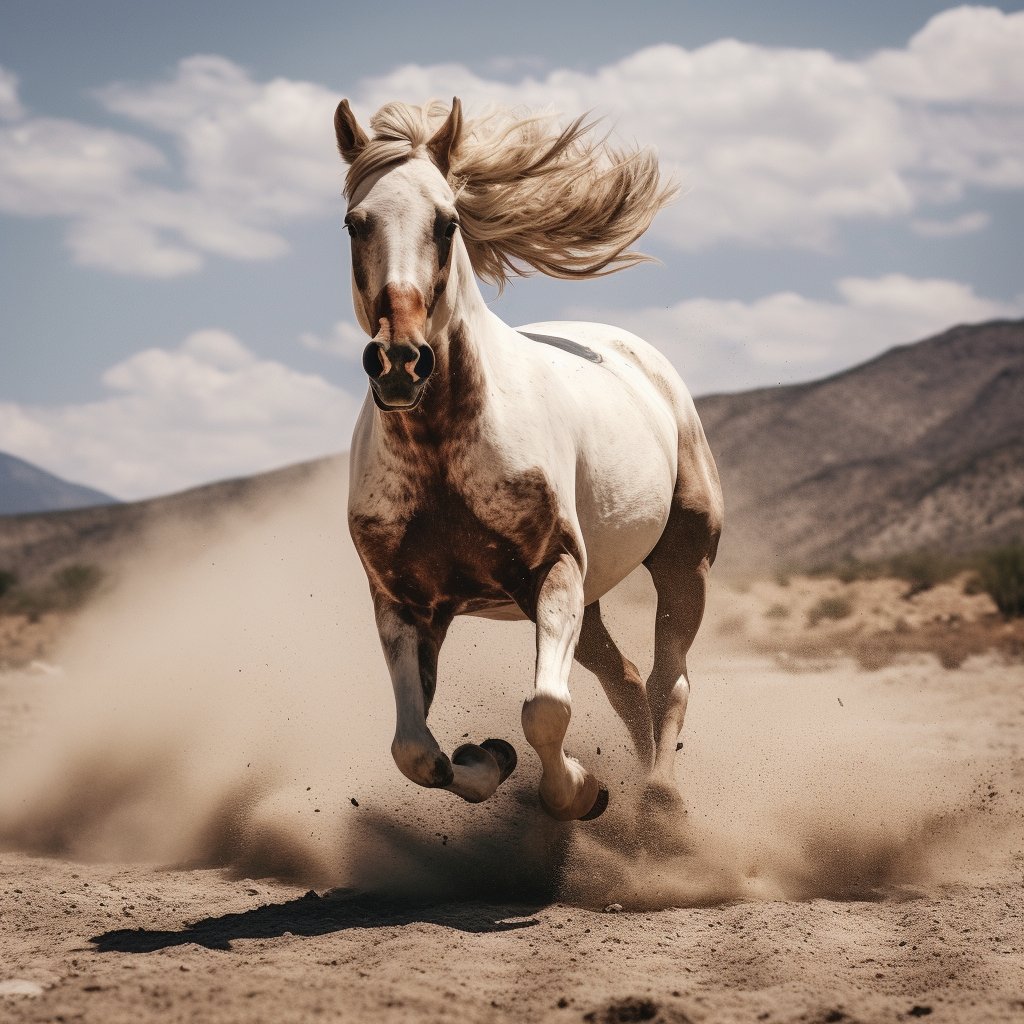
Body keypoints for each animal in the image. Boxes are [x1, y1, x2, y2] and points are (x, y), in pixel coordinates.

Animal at [333, 99, 720, 819]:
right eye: (354, 222)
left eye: (447, 222)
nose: (399, 361)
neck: (440, 458)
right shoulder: (405, 604)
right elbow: (415, 750)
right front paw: (489, 757)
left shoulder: (554, 570)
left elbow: (544, 709)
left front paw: (582, 793)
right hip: (592, 600)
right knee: (627, 681)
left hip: (683, 562)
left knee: (668, 679)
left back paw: (659, 800)